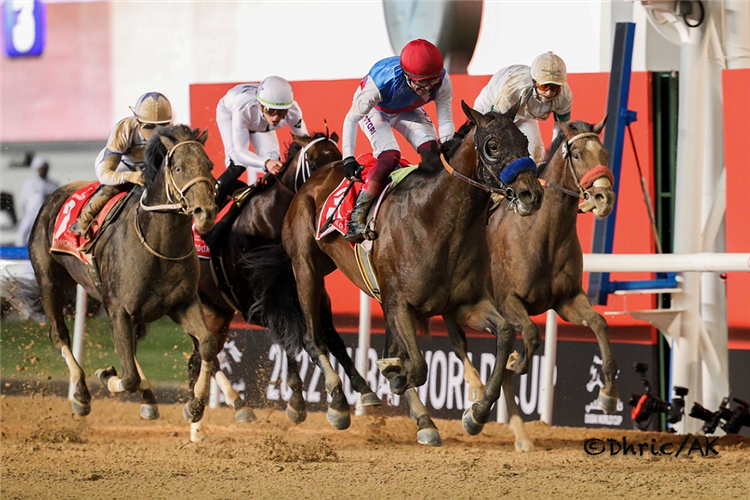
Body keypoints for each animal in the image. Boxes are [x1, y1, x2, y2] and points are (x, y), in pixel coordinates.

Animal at [27, 126, 220, 426]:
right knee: (59, 334)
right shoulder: (118, 310)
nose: (206, 212)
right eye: (178, 167)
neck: (159, 247)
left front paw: (195, 405)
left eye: (209, 165)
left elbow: (208, 344)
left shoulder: (183, 303)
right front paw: (106, 375)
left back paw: (148, 398)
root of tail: (54, 196)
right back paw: (81, 394)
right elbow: (128, 377)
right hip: (48, 279)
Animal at [194, 132, 382, 442]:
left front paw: (363, 390)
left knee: (199, 355)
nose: (341, 178)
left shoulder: (315, 294)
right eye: (313, 161)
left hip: (218, 311)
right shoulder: (261, 305)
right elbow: (293, 342)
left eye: (337, 154)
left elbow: (332, 340)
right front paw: (298, 402)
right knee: (205, 352)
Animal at [284, 102, 544, 446]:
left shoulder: (463, 304)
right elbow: (417, 366)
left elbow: (504, 334)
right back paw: (338, 402)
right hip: (305, 267)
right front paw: (396, 378)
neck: (437, 219)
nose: (532, 195)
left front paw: (476, 414)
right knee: (313, 337)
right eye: (492, 145)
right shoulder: (399, 304)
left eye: (525, 141)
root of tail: (315, 178)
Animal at [450, 118, 620, 450]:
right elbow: (530, 335)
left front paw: (607, 394)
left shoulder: (568, 300)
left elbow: (599, 324)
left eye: (605, 153)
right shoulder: (508, 302)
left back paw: (520, 434)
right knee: (456, 341)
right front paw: (517, 362)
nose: (604, 198)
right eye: (577, 155)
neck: (543, 233)